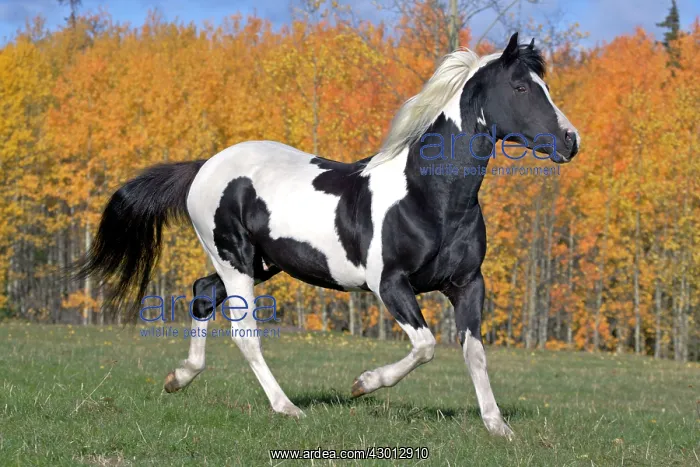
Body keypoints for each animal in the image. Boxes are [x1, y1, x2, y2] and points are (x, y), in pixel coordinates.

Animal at [76, 32, 579, 439]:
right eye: (520, 88)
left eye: (545, 87)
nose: (571, 141)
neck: (430, 197)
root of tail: (205, 167)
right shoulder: (390, 284)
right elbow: (425, 345)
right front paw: (362, 385)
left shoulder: (468, 284)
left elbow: (474, 352)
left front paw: (498, 426)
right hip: (235, 261)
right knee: (244, 333)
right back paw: (286, 408)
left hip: (259, 263)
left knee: (201, 294)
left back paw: (179, 378)